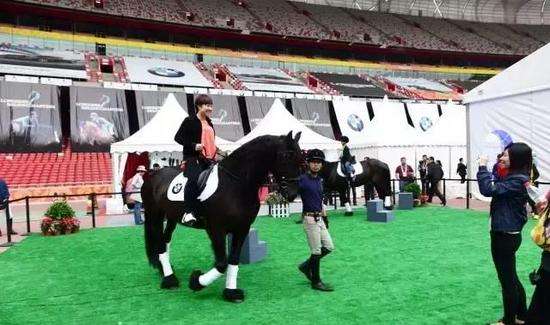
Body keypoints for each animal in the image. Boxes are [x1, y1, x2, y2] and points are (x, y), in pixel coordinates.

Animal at [140, 131, 304, 302]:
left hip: (172, 217)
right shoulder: (216, 229)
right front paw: (196, 281)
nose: (292, 194)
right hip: (154, 214)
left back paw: (165, 271)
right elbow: (221, 263)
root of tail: (153, 175)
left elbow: (233, 259)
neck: (235, 184)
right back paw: (169, 280)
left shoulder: (242, 228)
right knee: (159, 242)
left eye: (300, 157)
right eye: (286, 155)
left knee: (166, 240)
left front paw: (231, 292)